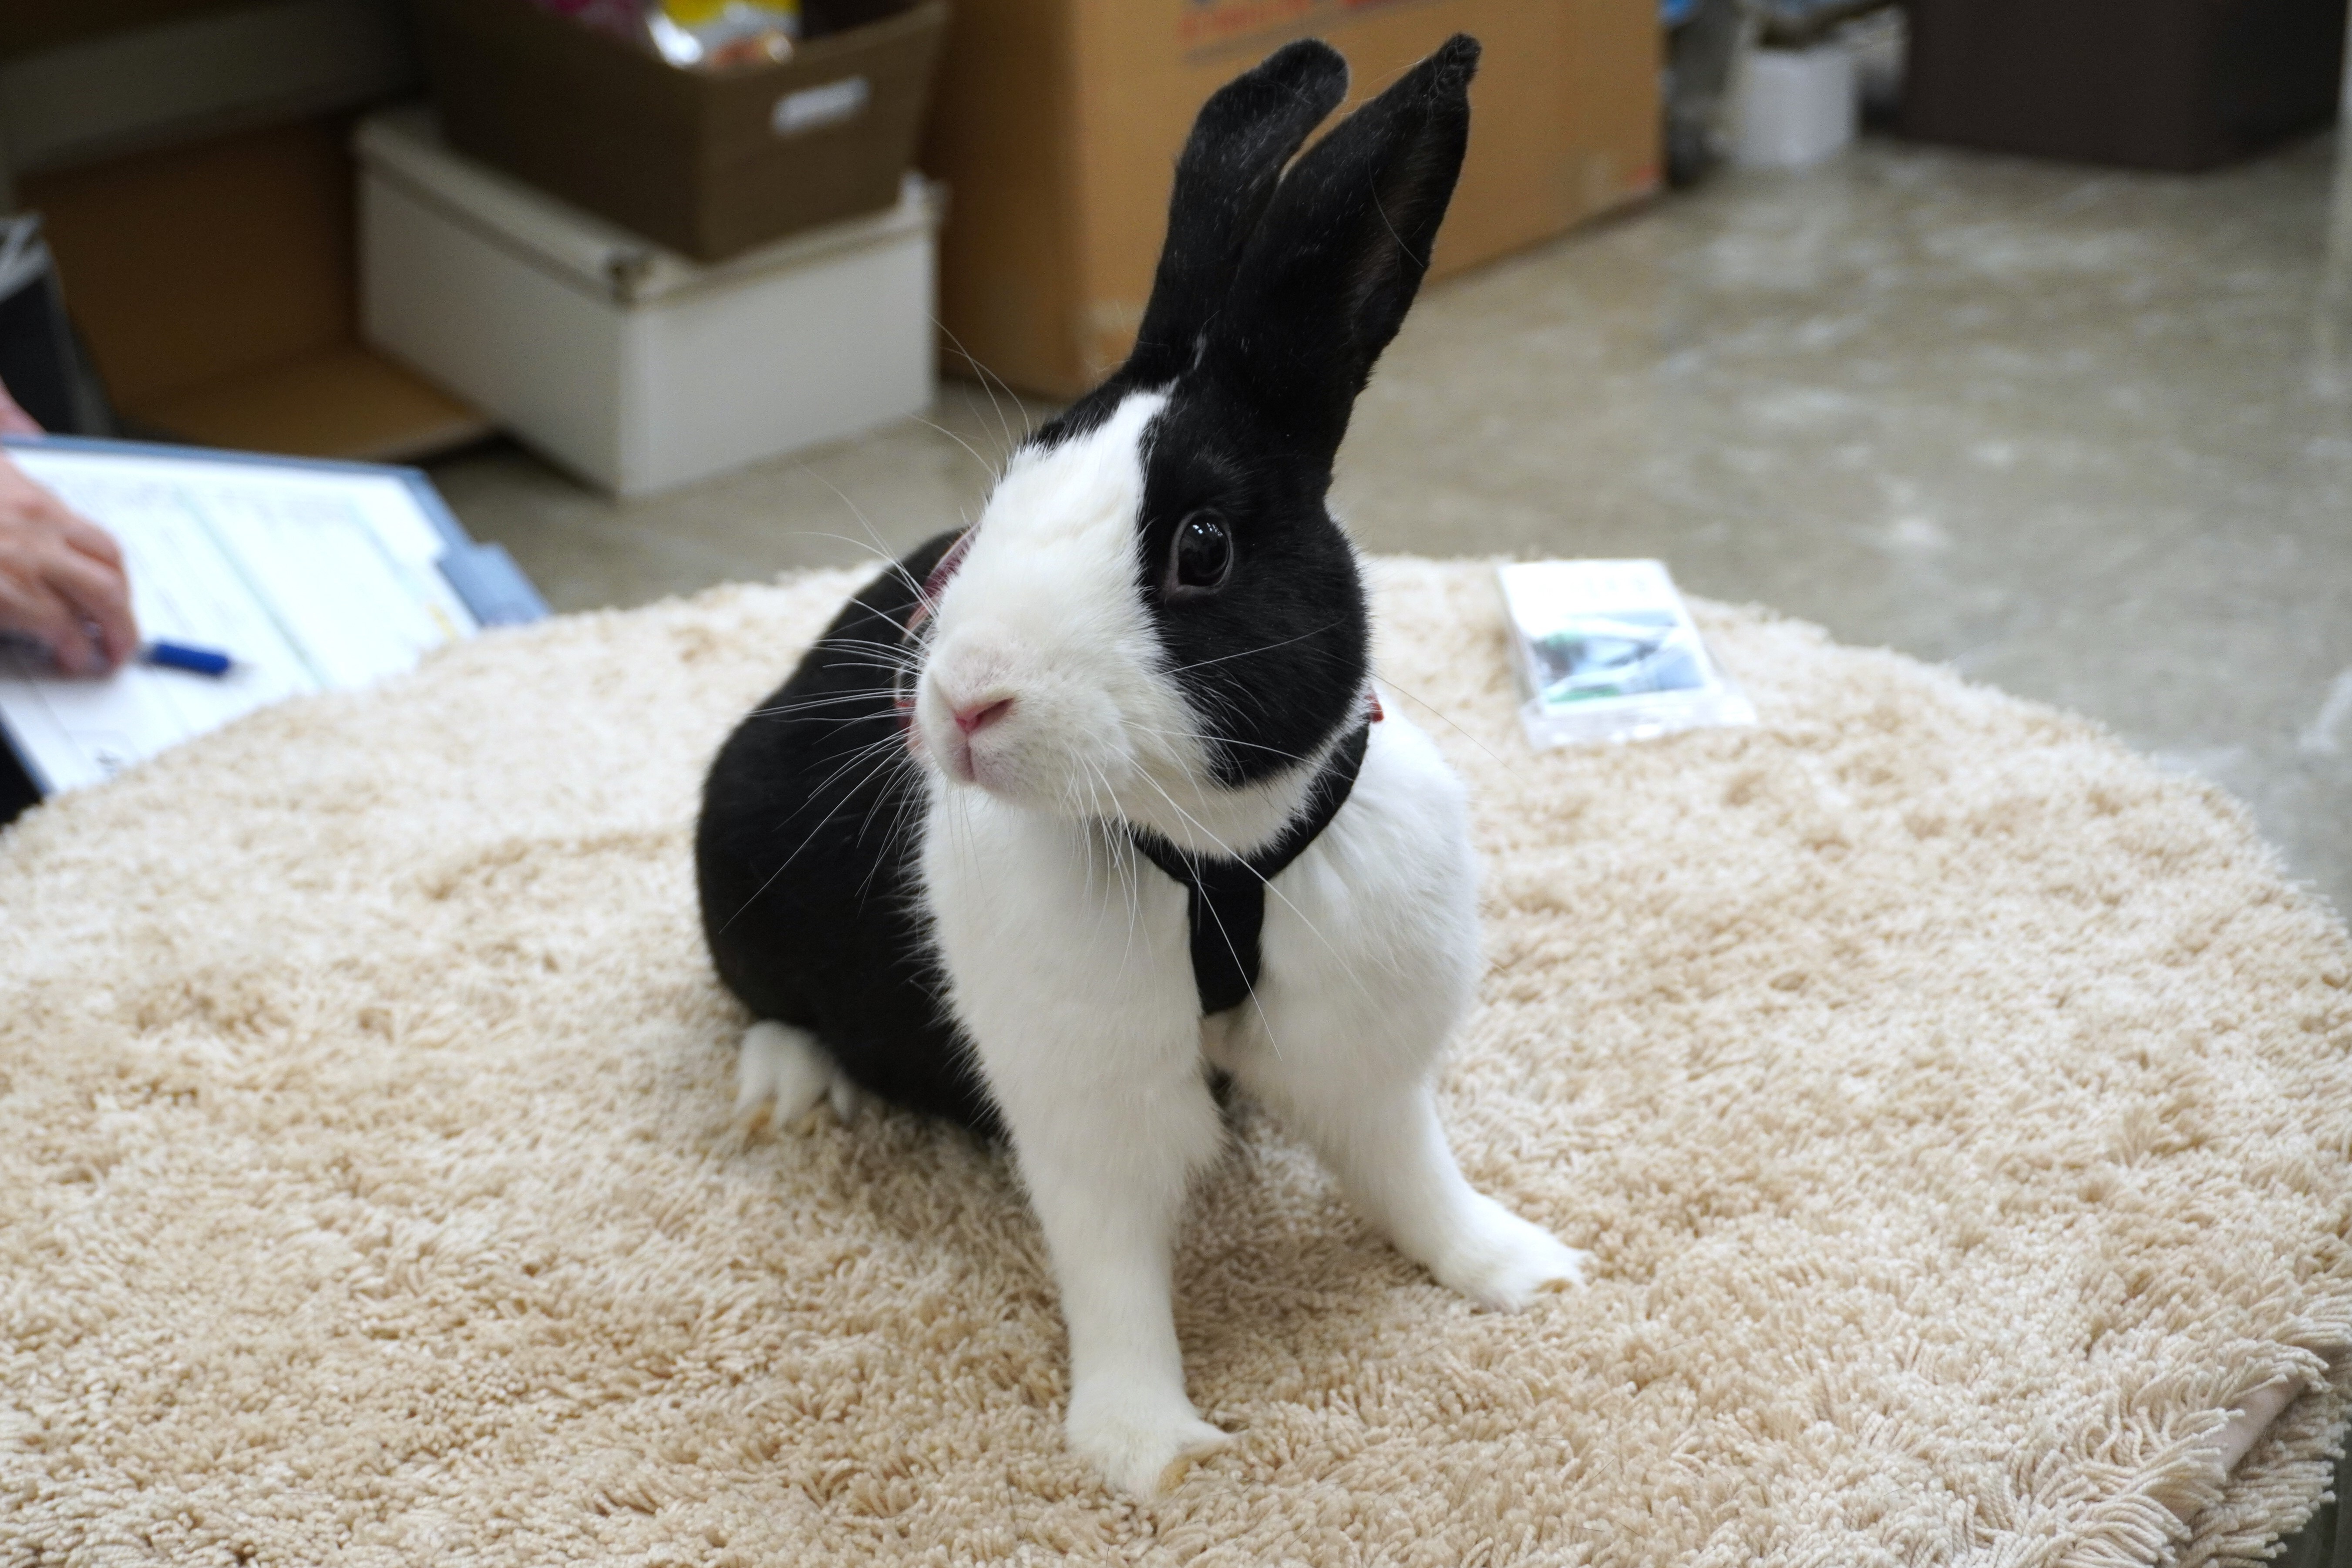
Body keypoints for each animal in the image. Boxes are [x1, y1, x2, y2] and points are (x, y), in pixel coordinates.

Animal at [695, 32, 1591, 1499]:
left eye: (1200, 549)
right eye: (1003, 495)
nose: (963, 699)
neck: (1214, 862)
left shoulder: (1367, 1056)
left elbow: (1411, 1173)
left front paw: (1523, 1272)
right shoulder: (1086, 1105)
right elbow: (1113, 1269)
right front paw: (1148, 1453)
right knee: (764, 1002)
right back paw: (787, 1092)